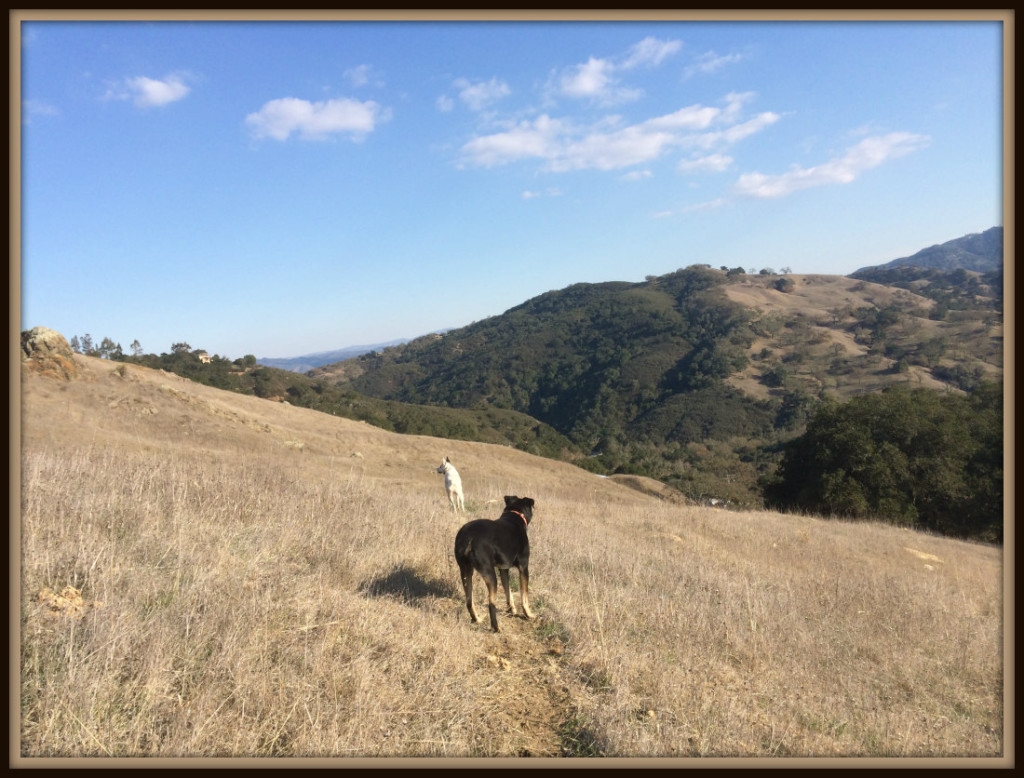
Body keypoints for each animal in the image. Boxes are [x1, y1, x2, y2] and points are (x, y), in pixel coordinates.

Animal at [454, 497, 536, 630]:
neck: (514, 515)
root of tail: (469, 538)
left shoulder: (503, 569)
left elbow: (508, 592)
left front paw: (512, 610)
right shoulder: (524, 567)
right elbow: (524, 597)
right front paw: (529, 615)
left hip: (465, 571)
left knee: (469, 601)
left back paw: (477, 619)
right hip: (490, 574)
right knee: (491, 605)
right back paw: (497, 628)